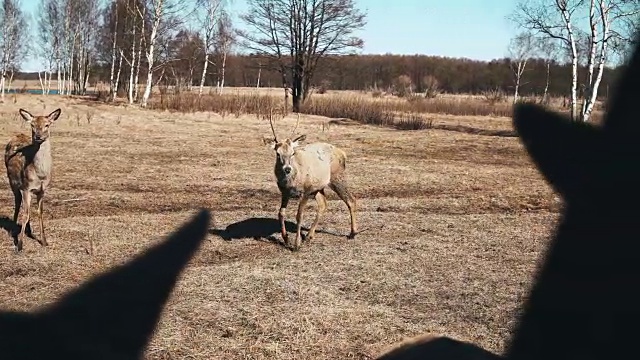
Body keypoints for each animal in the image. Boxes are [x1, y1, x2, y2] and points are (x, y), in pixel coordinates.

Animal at [4, 108, 62, 252]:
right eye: (32, 125)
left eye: (47, 124)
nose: (38, 136)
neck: (40, 174)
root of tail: (16, 135)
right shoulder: (27, 187)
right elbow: (25, 214)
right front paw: (19, 245)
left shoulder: (42, 190)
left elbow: (39, 212)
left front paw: (44, 241)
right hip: (12, 182)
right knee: (18, 201)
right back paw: (13, 229)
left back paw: (29, 231)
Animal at [262, 112, 358, 250]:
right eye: (277, 153)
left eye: (293, 153)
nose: (287, 169)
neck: (292, 181)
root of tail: (343, 153)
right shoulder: (284, 192)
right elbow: (281, 213)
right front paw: (286, 239)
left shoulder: (306, 190)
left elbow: (299, 215)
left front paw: (296, 244)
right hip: (318, 186)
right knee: (323, 204)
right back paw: (309, 236)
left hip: (337, 176)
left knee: (351, 200)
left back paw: (353, 233)